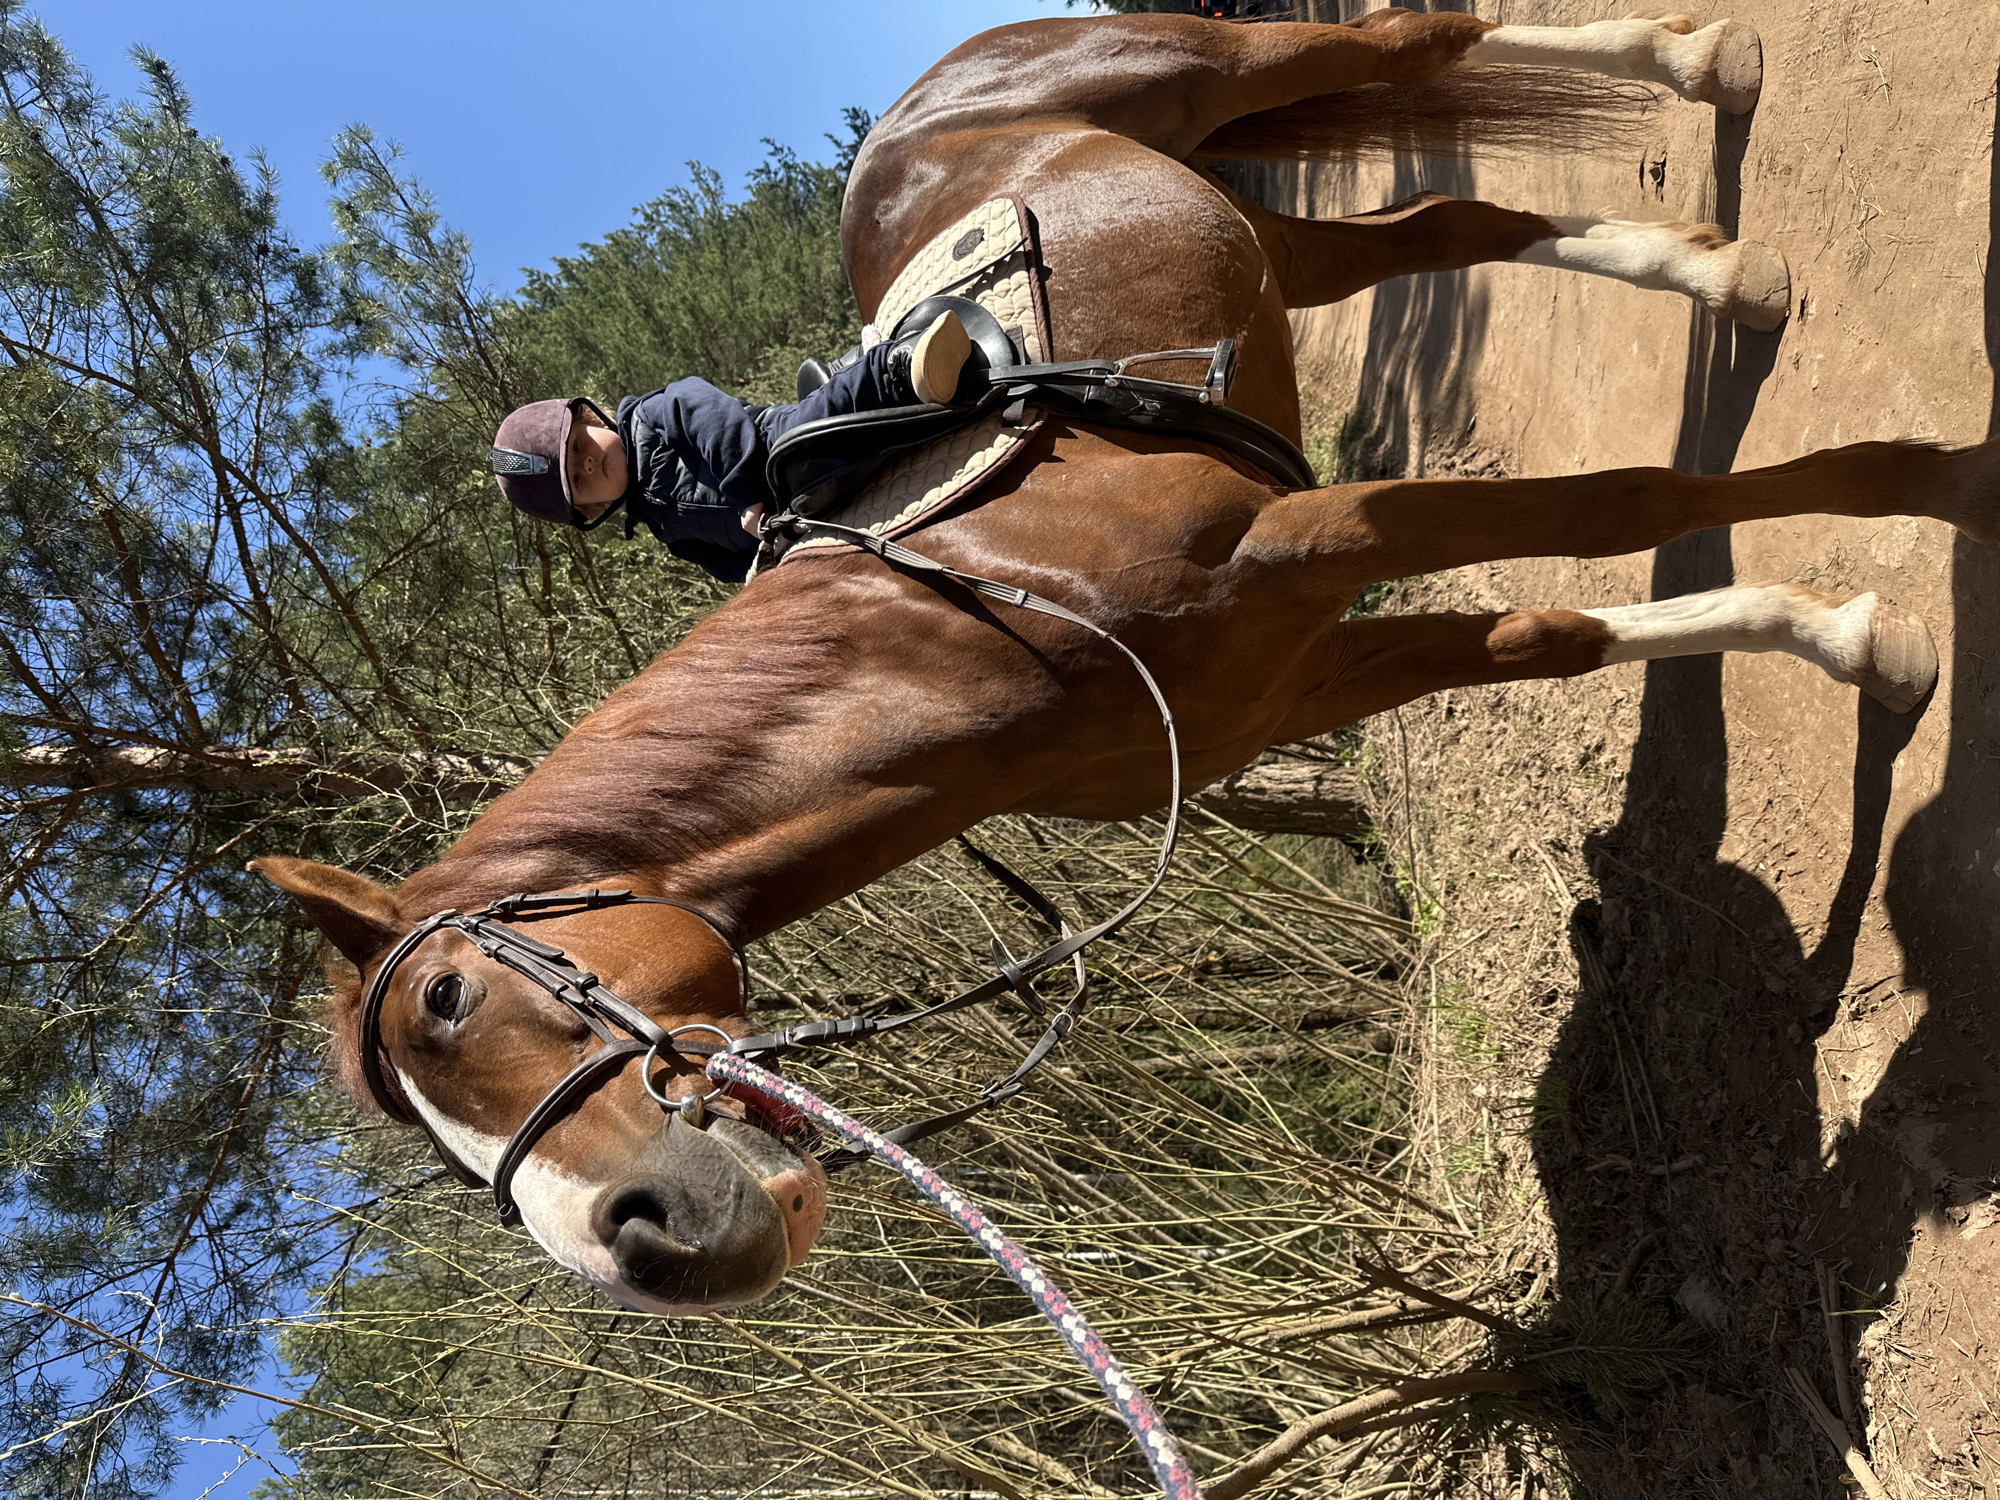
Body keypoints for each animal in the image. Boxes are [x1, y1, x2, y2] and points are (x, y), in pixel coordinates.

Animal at [252, 10, 1994, 1316]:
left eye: (453, 1001)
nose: (651, 1248)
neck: (983, 619)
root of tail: (930, 99)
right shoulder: (1297, 676)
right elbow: (1555, 632)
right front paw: (1845, 637)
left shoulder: (1318, 540)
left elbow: (1623, 507)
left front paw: (1943, 494)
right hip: (1265, 235)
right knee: (1447, 224)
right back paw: (1721, 273)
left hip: (1212, 75)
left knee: (1410, 37)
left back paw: (1708, 65)